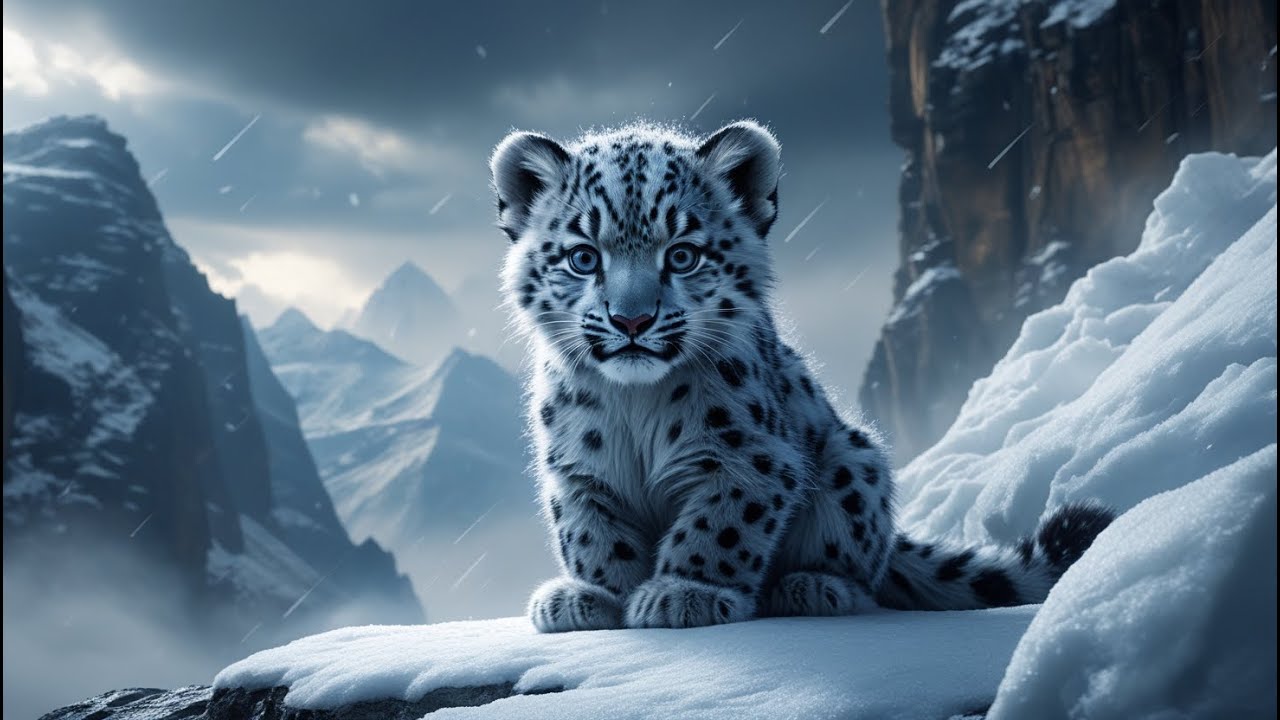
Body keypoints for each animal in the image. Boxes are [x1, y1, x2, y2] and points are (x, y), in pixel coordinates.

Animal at [489, 119, 1113, 631]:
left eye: (683, 255)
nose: (632, 319)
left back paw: (813, 587)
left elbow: (718, 526)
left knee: (862, 571)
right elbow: (594, 535)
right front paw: (596, 597)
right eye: (583, 256)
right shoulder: (580, 470)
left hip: (854, 461)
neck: (635, 407)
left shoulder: (750, 458)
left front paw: (684, 591)